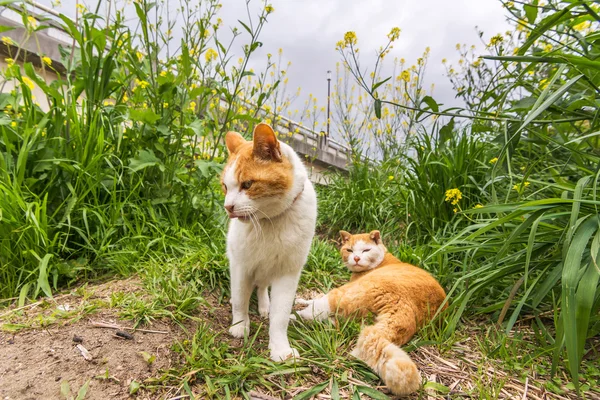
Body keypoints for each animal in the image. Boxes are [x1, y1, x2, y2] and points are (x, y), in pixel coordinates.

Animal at [221, 122, 318, 362]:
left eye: (247, 184)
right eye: (225, 186)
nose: (228, 207)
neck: (268, 222)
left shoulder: (288, 273)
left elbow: (280, 316)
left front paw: (280, 349)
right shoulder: (241, 265)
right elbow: (240, 298)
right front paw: (240, 326)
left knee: (263, 286)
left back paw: (265, 305)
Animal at [296, 230, 446, 396]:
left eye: (366, 250)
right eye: (349, 250)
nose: (356, 258)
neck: (383, 259)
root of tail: (406, 303)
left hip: (347, 293)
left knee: (314, 311)